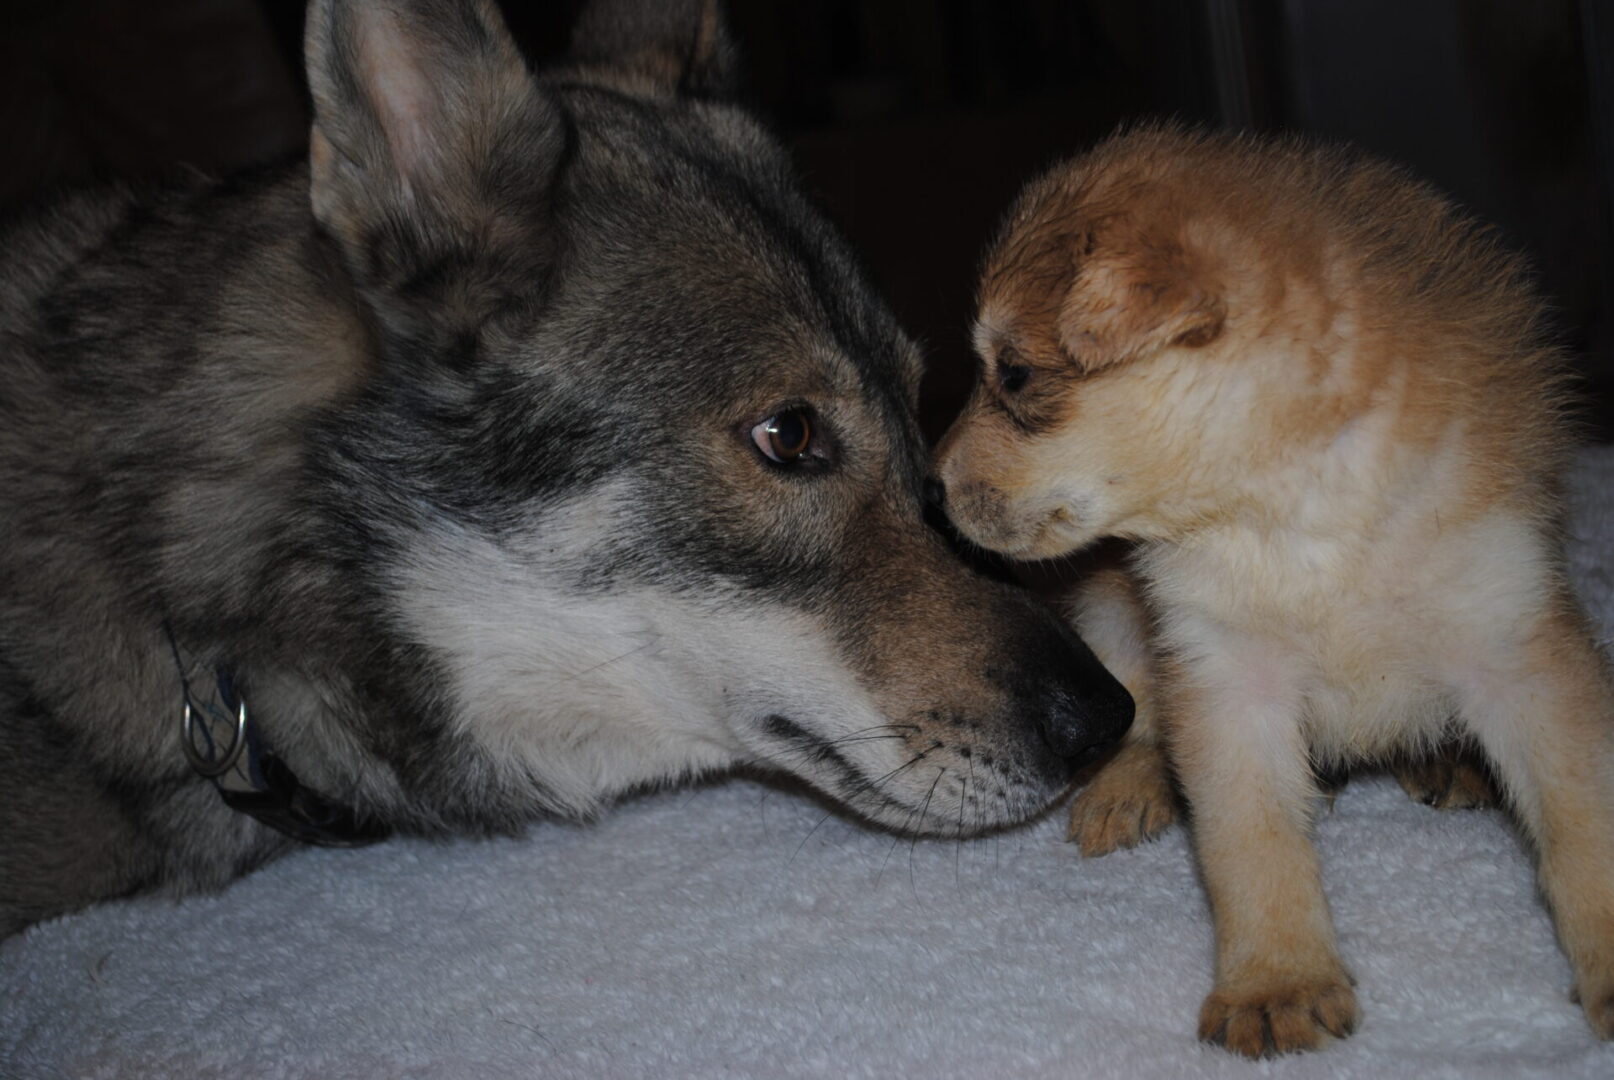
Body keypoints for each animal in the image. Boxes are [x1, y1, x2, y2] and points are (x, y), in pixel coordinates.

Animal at [936, 126, 1614, 1052]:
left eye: (1014, 376)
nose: (930, 486)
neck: (1293, 513)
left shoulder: (1519, 648)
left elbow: (1582, 823)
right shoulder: (1222, 674)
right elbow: (1250, 842)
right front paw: (1278, 982)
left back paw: (1448, 760)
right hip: (1111, 610)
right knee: (1135, 711)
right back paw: (1129, 791)